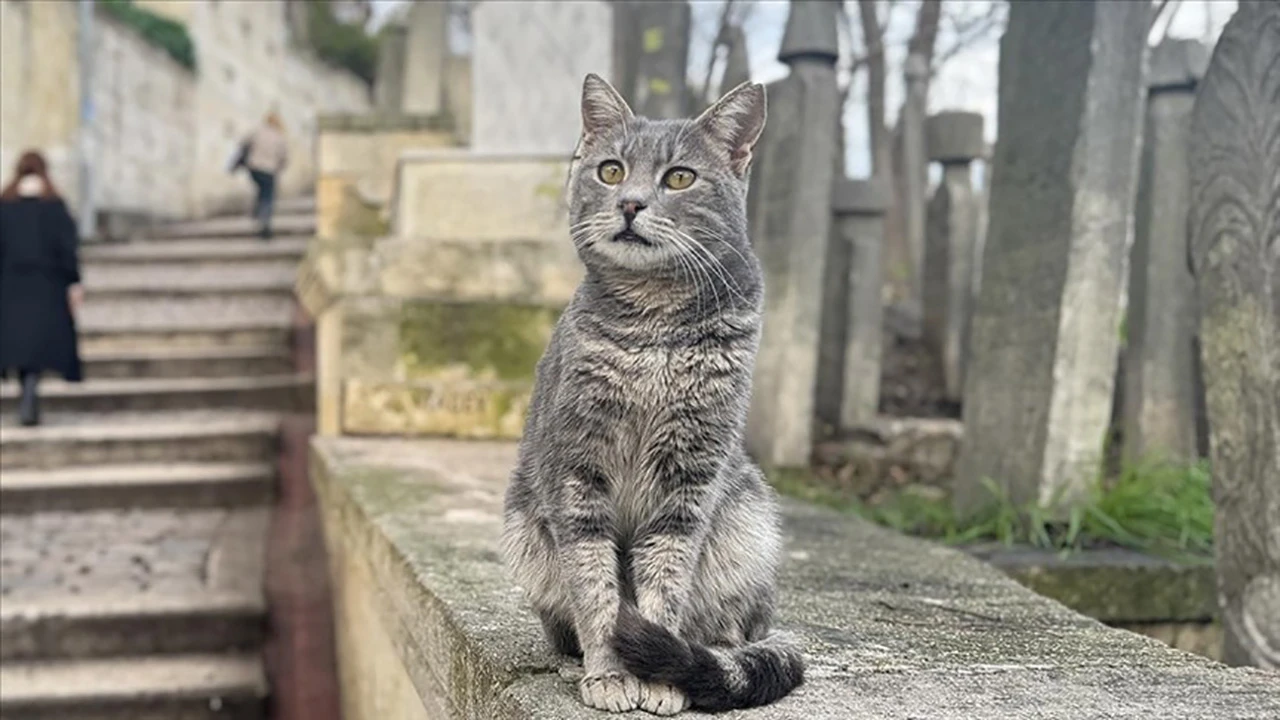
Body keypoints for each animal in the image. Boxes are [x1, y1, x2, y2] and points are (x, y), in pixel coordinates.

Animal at [499, 73, 798, 712]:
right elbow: (596, 590)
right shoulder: (577, 472)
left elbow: (664, 581)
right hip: (525, 532)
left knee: (736, 631)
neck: (653, 326)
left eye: (679, 177)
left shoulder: (689, 478)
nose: (631, 203)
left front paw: (661, 677)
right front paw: (611, 673)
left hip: (748, 523)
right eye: (611, 171)